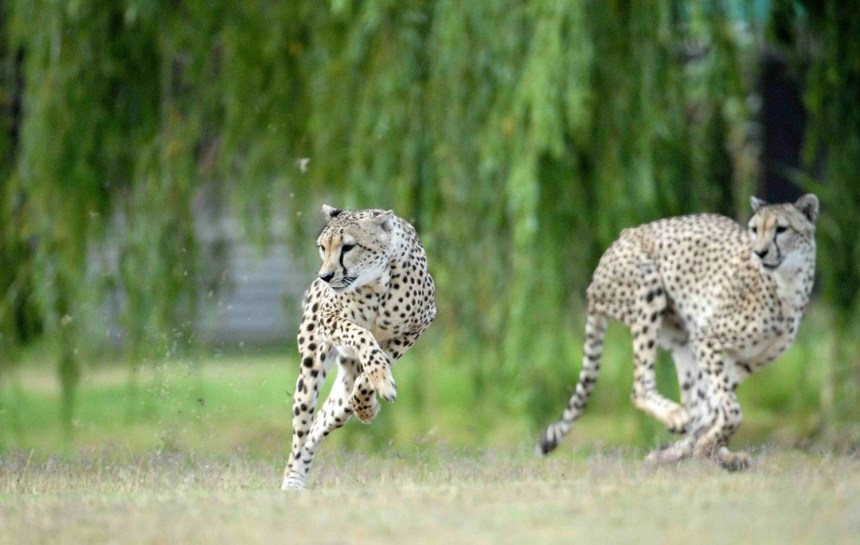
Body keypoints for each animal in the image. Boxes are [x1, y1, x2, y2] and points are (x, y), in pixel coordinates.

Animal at [281, 205, 436, 490]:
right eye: (322, 247)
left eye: (348, 247)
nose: (325, 276)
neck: (376, 282)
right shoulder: (329, 318)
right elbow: (362, 334)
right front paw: (377, 385)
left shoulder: (417, 326)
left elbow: (376, 365)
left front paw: (373, 395)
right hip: (308, 374)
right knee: (301, 433)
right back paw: (292, 483)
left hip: (342, 399)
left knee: (321, 423)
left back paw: (364, 406)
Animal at [538, 194, 818, 470]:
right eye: (754, 229)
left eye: (781, 229)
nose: (759, 252)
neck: (787, 286)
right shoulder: (707, 338)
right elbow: (730, 411)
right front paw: (699, 447)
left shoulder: (741, 362)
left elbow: (714, 410)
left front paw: (692, 449)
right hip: (648, 291)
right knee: (641, 387)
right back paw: (676, 418)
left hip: (681, 338)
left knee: (695, 403)